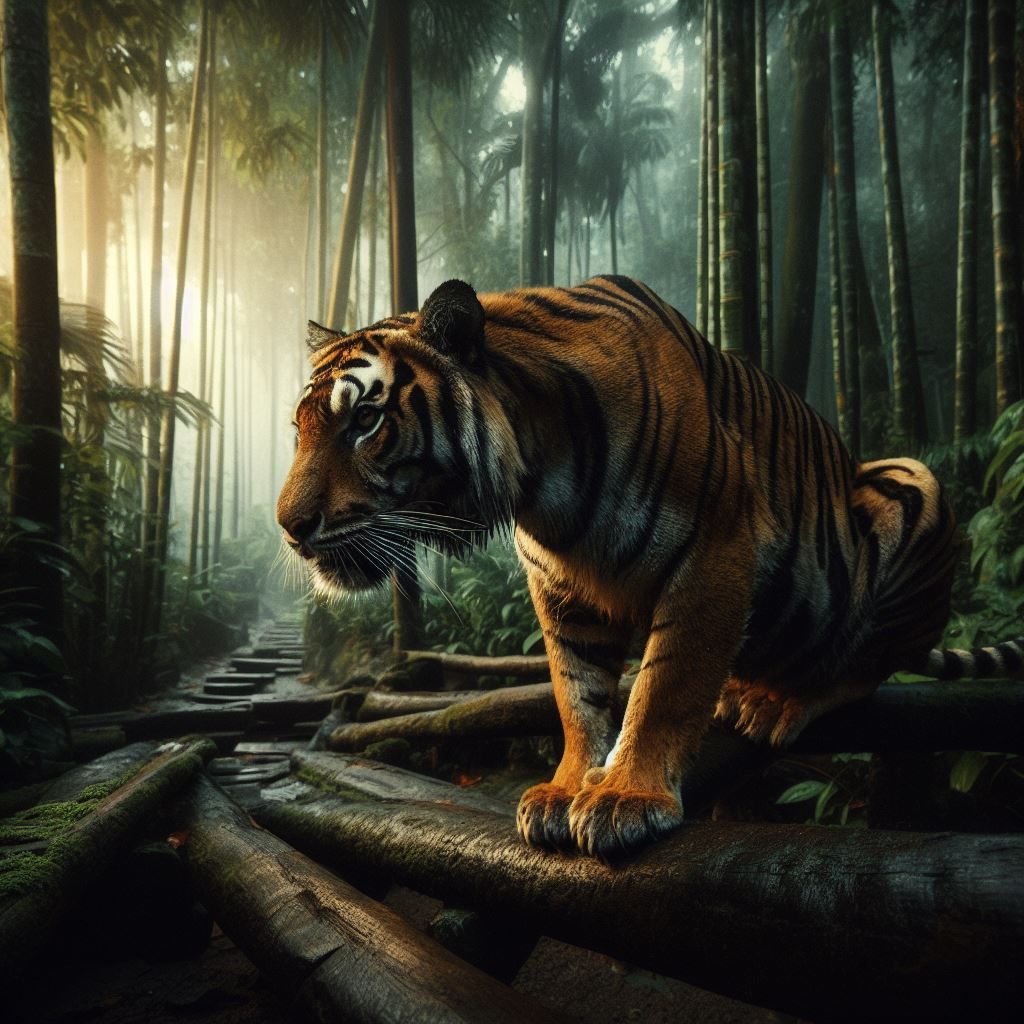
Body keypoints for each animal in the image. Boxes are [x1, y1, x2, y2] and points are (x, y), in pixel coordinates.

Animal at [277, 274, 1024, 860]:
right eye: (299, 427)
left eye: (365, 421)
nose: (288, 527)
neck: (540, 479)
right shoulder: (558, 586)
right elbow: (576, 692)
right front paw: (567, 785)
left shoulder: (715, 549)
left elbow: (666, 683)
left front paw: (625, 797)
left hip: (912, 482)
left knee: (867, 665)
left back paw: (778, 701)